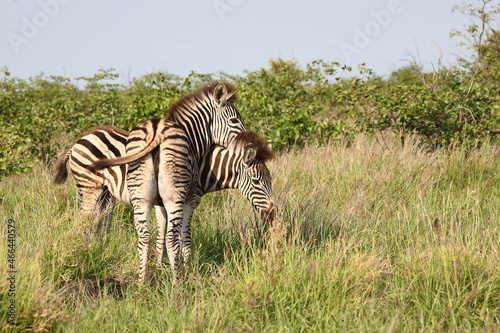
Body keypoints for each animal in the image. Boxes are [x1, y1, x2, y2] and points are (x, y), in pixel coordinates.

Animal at [53, 123, 278, 282]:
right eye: (257, 181)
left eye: (270, 179)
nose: (272, 213)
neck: (203, 166)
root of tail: (78, 141)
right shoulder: (187, 200)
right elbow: (183, 237)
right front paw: (185, 271)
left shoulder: (164, 202)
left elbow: (162, 236)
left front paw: (161, 268)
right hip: (89, 188)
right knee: (84, 223)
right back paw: (87, 255)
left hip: (105, 194)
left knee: (99, 224)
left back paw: (100, 251)